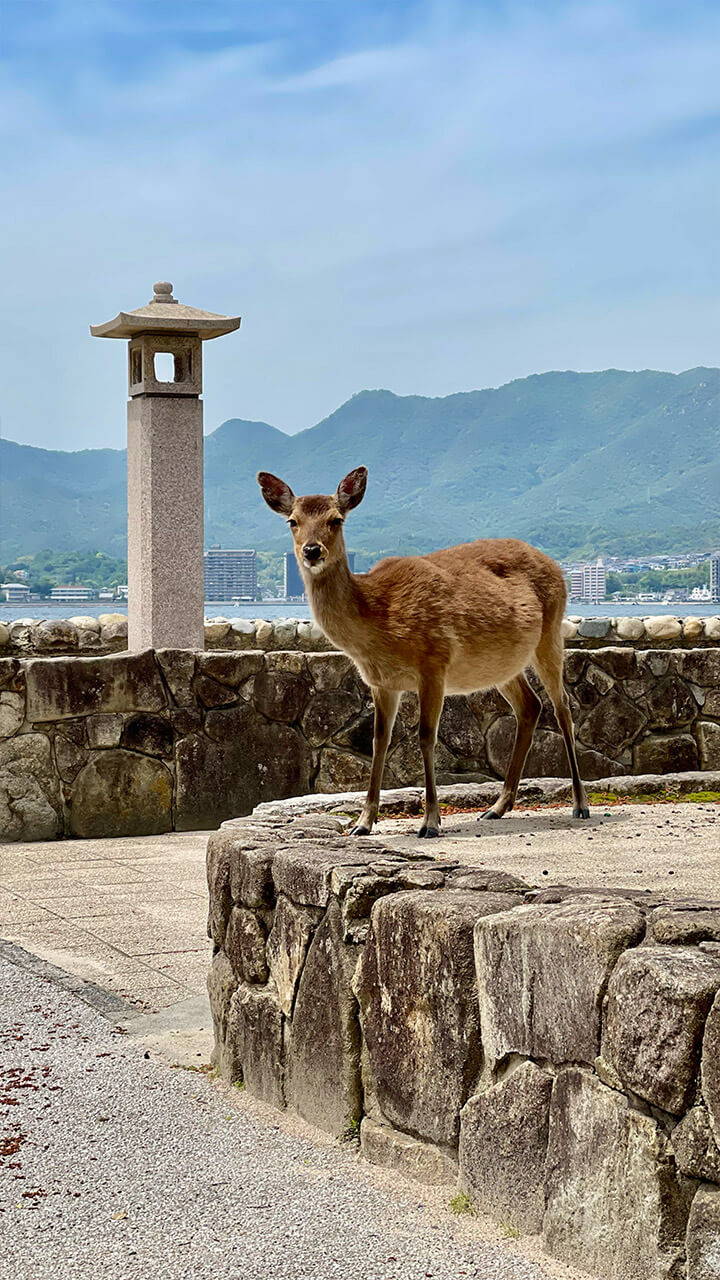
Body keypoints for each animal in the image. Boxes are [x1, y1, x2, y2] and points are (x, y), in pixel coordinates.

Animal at [258, 466, 589, 838]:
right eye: (293, 521)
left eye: (336, 519)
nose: (312, 551)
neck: (380, 620)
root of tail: (558, 568)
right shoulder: (381, 682)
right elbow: (379, 741)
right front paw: (363, 823)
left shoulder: (434, 663)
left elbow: (426, 737)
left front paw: (431, 821)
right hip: (502, 664)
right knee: (530, 706)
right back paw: (497, 807)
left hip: (551, 632)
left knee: (563, 708)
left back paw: (580, 804)